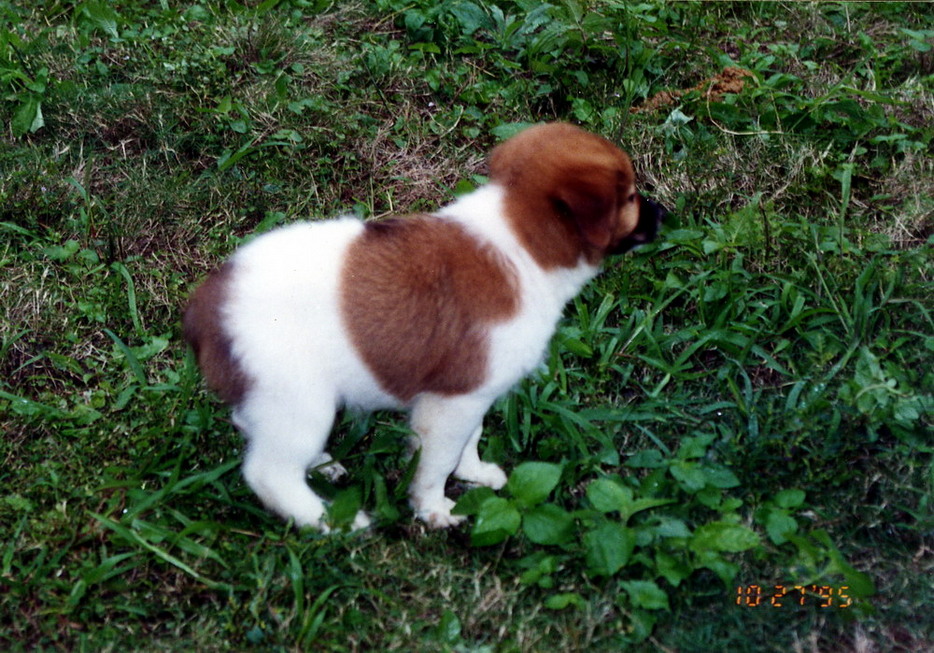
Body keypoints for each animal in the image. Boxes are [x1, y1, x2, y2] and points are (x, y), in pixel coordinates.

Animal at [185, 121, 664, 528]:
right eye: (630, 197)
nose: (663, 213)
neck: (520, 242)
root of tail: (206, 305)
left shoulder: (470, 396)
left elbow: (468, 442)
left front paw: (474, 473)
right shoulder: (453, 402)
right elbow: (437, 463)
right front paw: (434, 509)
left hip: (273, 399)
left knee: (254, 428)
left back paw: (321, 464)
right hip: (299, 401)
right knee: (268, 472)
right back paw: (333, 522)